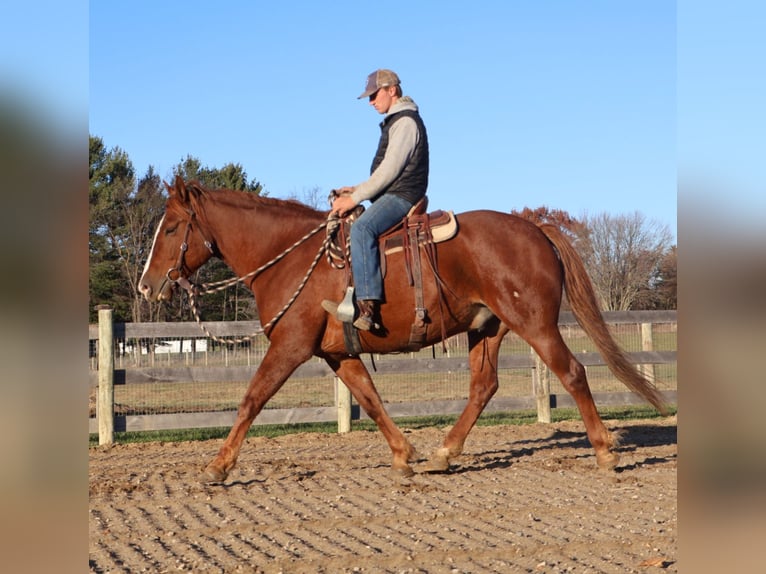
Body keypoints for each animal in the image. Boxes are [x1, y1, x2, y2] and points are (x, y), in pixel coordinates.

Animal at [139, 177, 667, 481]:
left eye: (172, 228)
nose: (146, 285)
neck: (289, 258)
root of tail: (535, 229)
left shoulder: (290, 347)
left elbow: (252, 399)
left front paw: (218, 466)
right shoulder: (339, 354)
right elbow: (370, 400)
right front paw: (404, 454)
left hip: (535, 325)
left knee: (572, 373)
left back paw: (605, 452)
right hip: (488, 328)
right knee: (484, 386)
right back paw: (443, 453)